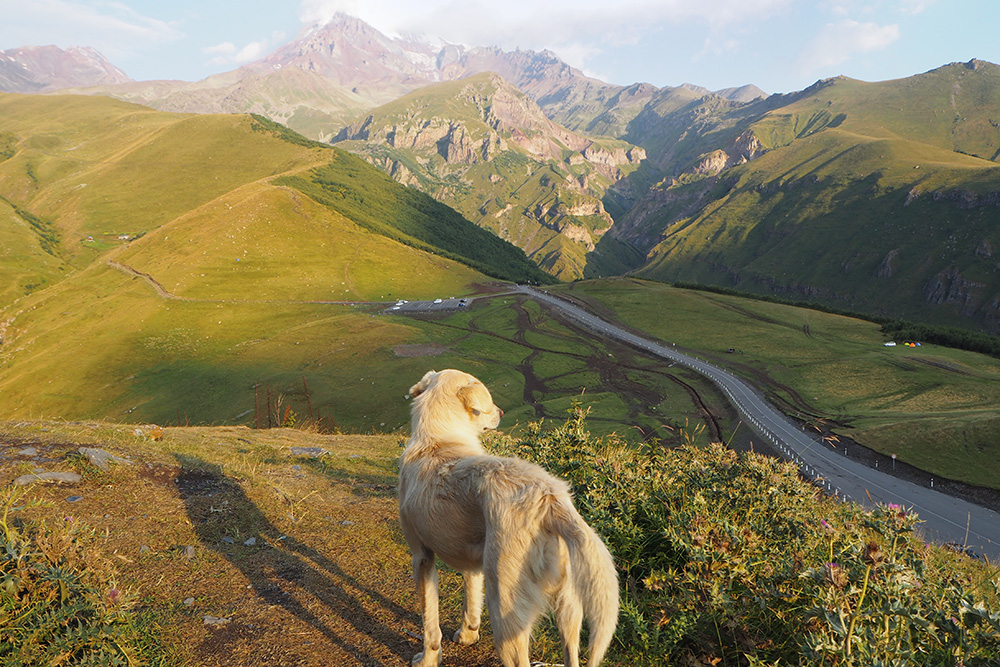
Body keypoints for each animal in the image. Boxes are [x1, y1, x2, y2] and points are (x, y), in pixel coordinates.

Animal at [396, 370, 616, 667]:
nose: (500, 412)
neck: (437, 437)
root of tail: (549, 500)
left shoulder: (421, 557)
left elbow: (430, 624)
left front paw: (427, 659)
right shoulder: (473, 561)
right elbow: (471, 600)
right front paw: (468, 634)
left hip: (504, 610)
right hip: (568, 608)